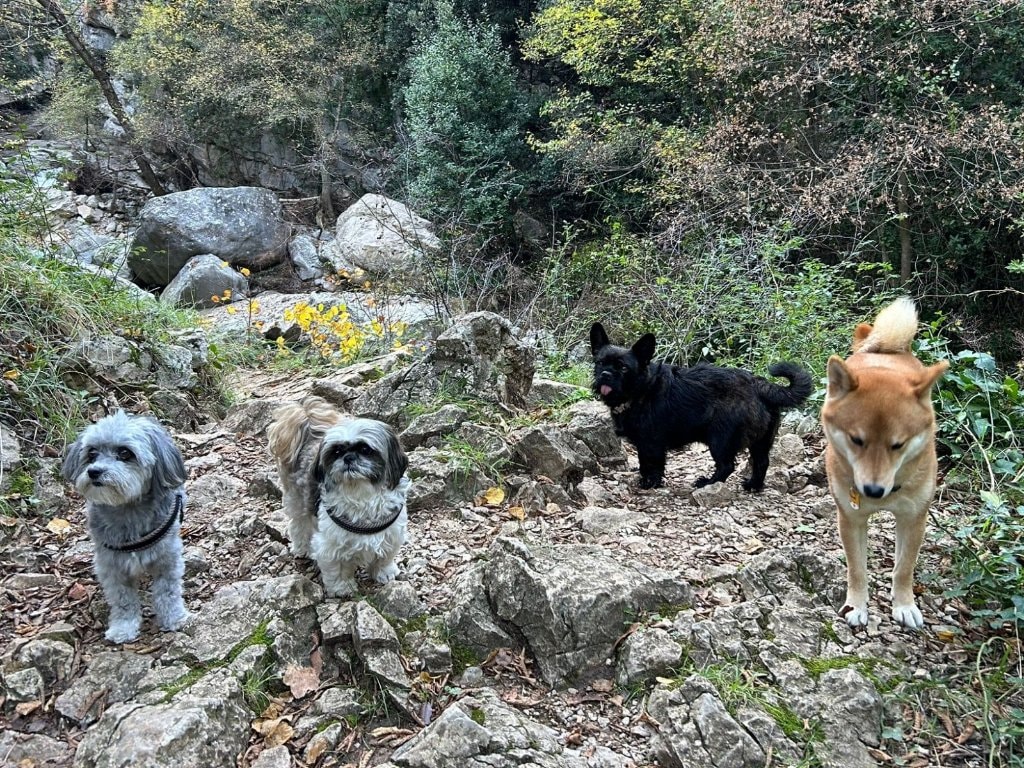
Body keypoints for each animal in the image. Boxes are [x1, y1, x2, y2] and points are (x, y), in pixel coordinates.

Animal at [61, 411, 189, 643]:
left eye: (124, 453)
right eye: (91, 453)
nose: (94, 471)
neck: (127, 508)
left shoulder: (167, 559)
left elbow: (167, 592)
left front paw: (174, 617)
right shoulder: (112, 566)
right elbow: (123, 600)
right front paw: (123, 627)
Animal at [267, 397, 411, 597]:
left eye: (365, 449)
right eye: (336, 452)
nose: (348, 457)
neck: (360, 494)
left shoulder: (392, 534)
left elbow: (384, 556)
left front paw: (384, 572)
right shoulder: (331, 545)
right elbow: (338, 568)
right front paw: (342, 588)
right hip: (297, 500)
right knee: (299, 525)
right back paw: (303, 548)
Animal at [590, 323, 812, 491]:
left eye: (623, 368)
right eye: (600, 363)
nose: (605, 374)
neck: (642, 389)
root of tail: (759, 384)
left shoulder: (650, 443)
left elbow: (650, 464)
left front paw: (649, 483)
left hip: (719, 440)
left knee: (726, 466)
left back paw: (708, 483)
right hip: (761, 442)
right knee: (761, 463)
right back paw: (753, 486)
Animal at [822, 297, 948, 629]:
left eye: (898, 444)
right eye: (856, 440)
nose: (873, 491)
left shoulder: (914, 518)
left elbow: (904, 568)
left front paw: (904, 605)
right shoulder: (851, 518)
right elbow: (857, 568)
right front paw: (856, 606)